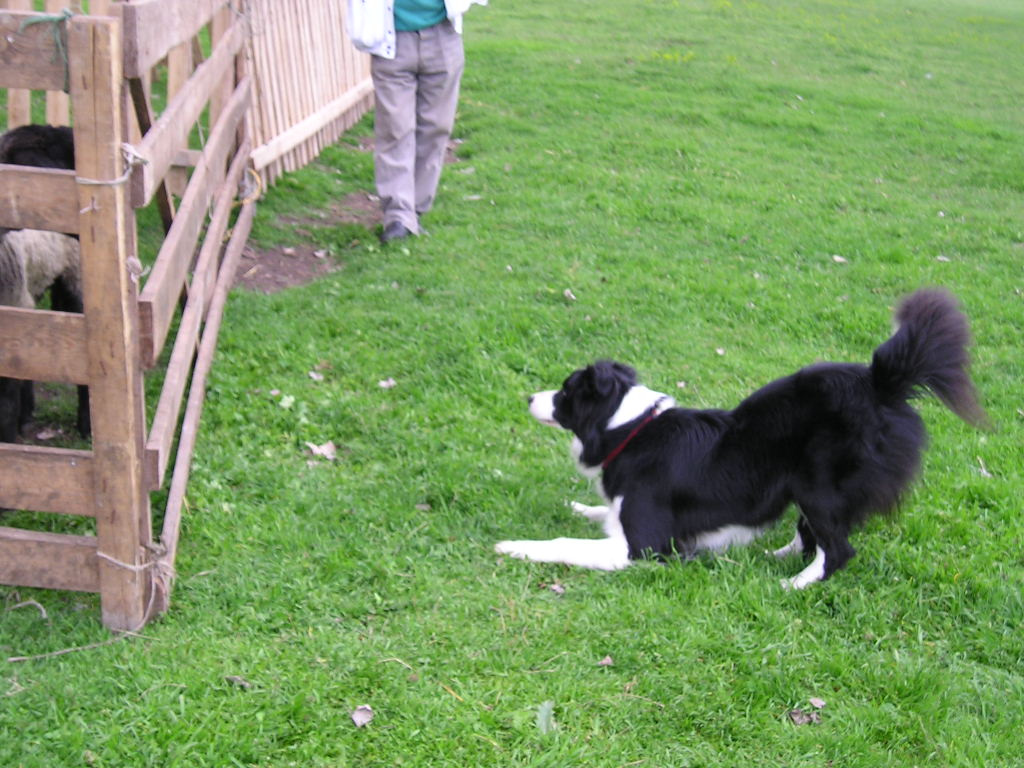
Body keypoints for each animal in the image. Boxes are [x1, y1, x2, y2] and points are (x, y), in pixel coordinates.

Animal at [495, 290, 983, 589]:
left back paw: (795, 584)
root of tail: (881, 383)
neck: (628, 428)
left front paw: (514, 546)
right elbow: (598, 512)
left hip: (818, 482)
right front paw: (577, 506)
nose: (530, 397)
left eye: (565, 392)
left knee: (839, 548)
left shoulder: (644, 546)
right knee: (812, 535)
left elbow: (565, 544)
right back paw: (778, 556)